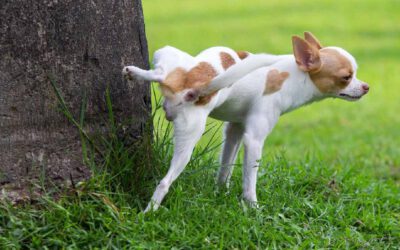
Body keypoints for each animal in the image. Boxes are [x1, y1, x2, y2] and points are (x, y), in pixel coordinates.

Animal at [122, 30, 368, 211]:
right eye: (346, 77)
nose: (366, 87)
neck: (293, 75)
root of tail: (194, 85)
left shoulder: (235, 130)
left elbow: (225, 167)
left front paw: (220, 193)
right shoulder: (254, 140)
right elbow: (250, 180)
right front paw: (253, 209)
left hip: (168, 57)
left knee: (160, 73)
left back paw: (135, 72)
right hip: (191, 133)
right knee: (165, 182)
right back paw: (149, 213)